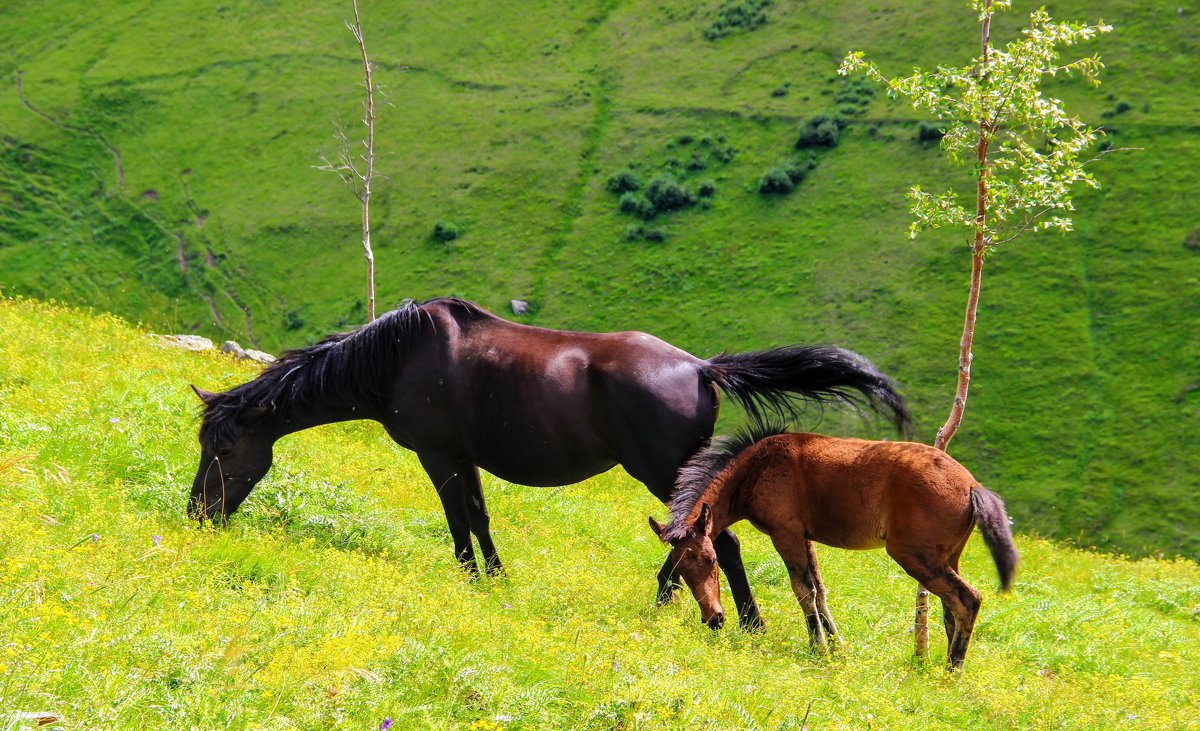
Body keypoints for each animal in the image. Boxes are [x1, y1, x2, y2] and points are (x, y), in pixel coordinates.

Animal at [192, 296, 912, 628]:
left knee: (719, 542)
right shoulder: (463, 457)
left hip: (666, 471)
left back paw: (744, 619)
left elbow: (459, 523)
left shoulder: (439, 456)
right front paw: (495, 578)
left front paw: (470, 580)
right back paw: (670, 595)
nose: (199, 514)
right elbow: (481, 519)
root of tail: (702, 368)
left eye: (222, 448)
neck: (398, 357)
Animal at [652, 424, 1017, 672]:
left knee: (967, 600)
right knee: (950, 607)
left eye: (712, 559)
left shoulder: (786, 534)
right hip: (947, 558)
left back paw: (951, 671)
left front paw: (819, 649)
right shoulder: (804, 536)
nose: (713, 618)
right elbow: (820, 589)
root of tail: (972, 485)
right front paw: (837, 646)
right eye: (680, 569)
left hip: (914, 556)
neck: (757, 469)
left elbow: (804, 590)